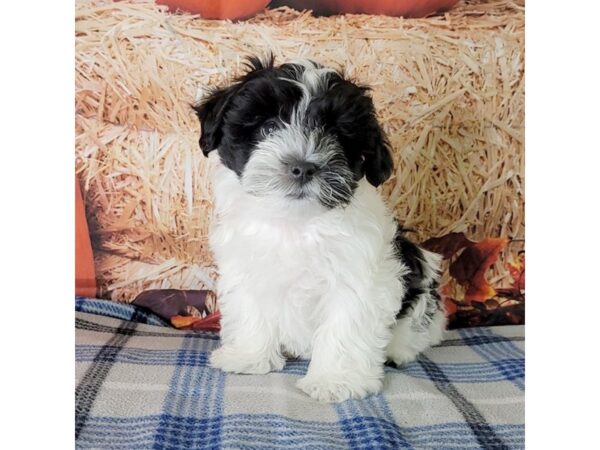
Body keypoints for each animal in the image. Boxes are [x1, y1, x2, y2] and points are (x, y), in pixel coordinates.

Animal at [193, 56, 446, 404]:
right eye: (268, 128)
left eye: (335, 136)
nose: (302, 166)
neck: (297, 222)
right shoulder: (247, 267)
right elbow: (251, 309)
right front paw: (248, 357)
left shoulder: (358, 278)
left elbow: (344, 326)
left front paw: (335, 381)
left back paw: (399, 349)